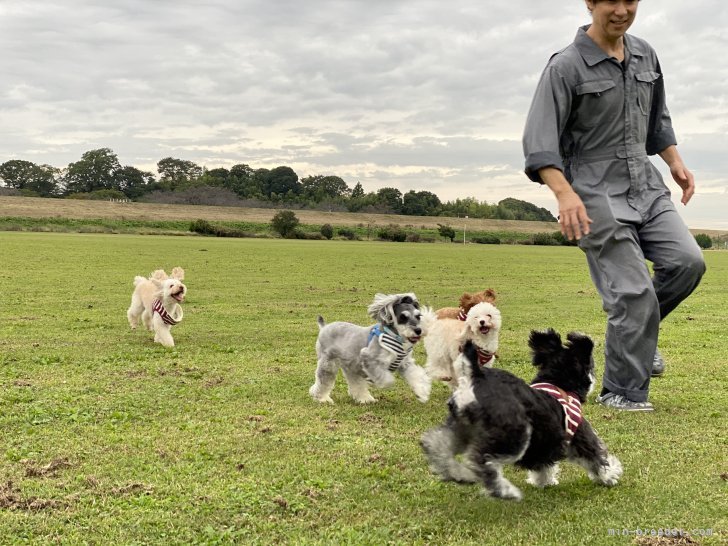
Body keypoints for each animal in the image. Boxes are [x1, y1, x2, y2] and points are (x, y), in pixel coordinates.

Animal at [424, 328, 624, 498]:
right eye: (591, 365)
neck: (558, 382)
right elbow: (596, 457)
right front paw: (610, 476)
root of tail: (475, 380)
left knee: (435, 444)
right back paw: (503, 490)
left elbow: (543, 464)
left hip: (459, 427)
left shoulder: (544, 444)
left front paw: (544, 481)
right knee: (481, 462)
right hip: (512, 438)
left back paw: (453, 471)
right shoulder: (579, 436)